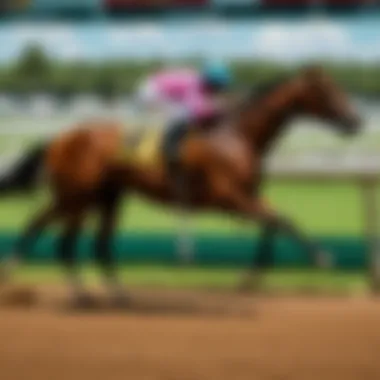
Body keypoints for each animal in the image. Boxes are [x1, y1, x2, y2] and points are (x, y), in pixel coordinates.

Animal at [0, 66, 360, 302]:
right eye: (327, 91)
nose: (355, 121)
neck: (236, 134)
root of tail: (60, 137)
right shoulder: (228, 196)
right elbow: (282, 220)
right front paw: (323, 257)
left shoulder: (248, 196)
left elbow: (273, 223)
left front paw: (249, 279)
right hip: (79, 196)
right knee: (62, 239)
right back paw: (75, 291)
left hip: (103, 196)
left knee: (81, 238)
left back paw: (115, 292)